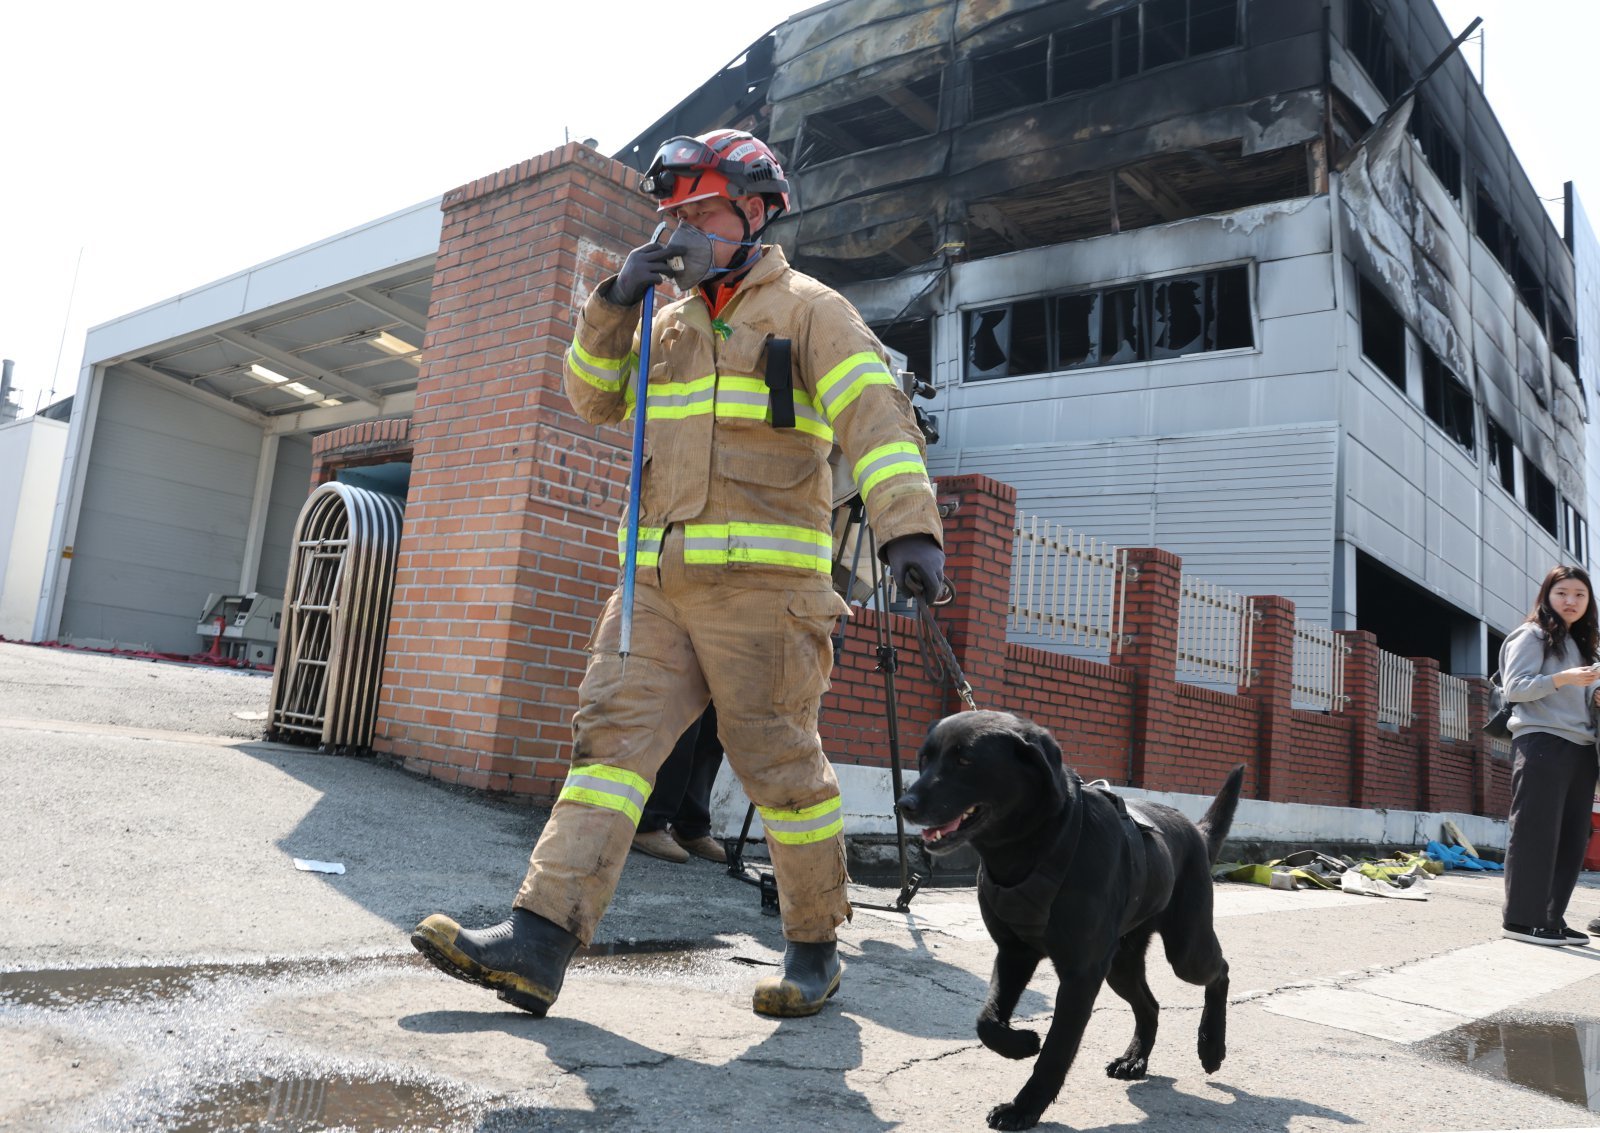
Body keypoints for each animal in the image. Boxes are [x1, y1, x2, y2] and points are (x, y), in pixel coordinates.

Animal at [895, 710, 1244, 1131]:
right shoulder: (1014, 952)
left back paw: (1211, 1046)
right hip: (1121, 963)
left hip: (1185, 949)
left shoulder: (1080, 974)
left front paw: (1023, 1108)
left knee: (1220, 971)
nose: (904, 804)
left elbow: (1056, 1051)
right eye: (923, 760)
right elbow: (987, 1020)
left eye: (965, 760)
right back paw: (1134, 1059)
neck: (1035, 845)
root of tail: (1195, 829)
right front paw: (1020, 1044)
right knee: (1150, 1005)